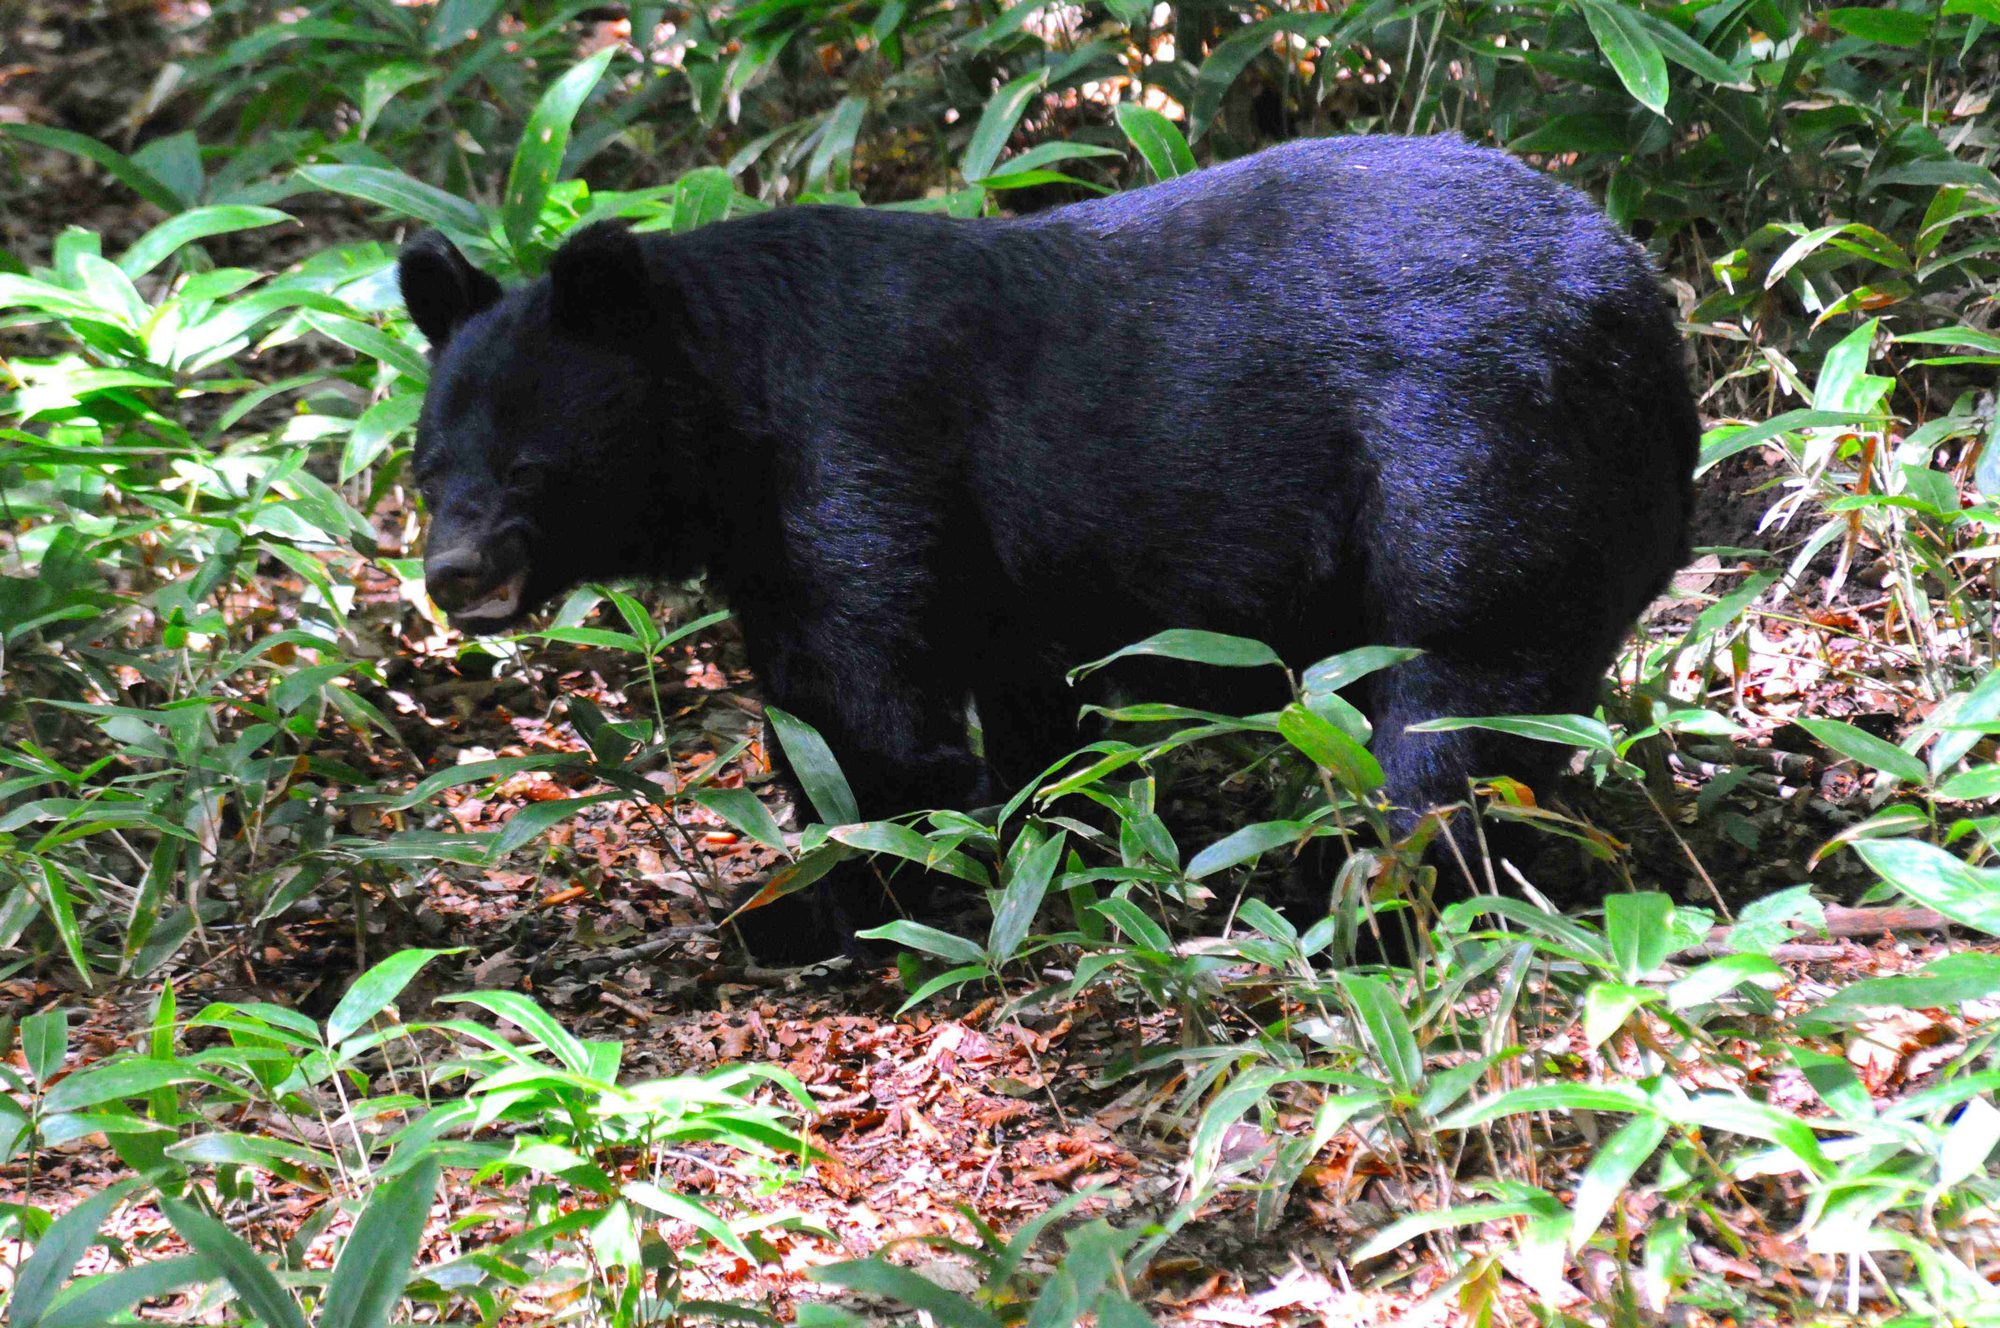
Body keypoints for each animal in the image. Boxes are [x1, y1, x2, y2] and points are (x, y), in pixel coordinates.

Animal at [397, 133, 1698, 961]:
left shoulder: (857, 453)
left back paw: (1369, 902)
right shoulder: (820, 552)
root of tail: (1638, 295)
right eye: (427, 468)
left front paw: (851, 902)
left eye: (527, 467)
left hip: (1476, 447)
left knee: (1454, 686)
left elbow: (868, 710)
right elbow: (988, 712)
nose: (453, 575)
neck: (729, 426)